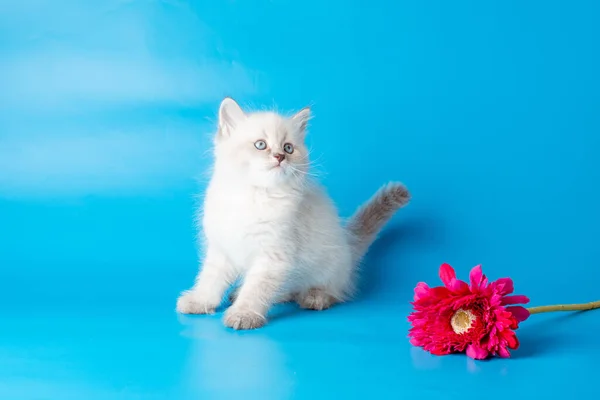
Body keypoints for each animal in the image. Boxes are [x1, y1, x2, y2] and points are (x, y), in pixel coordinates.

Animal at [176, 97, 410, 328]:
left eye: (288, 148)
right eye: (261, 145)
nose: (280, 157)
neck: (254, 195)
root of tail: (348, 244)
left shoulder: (273, 257)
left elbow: (255, 290)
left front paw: (244, 314)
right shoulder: (222, 249)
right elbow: (210, 279)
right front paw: (199, 301)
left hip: (330, 266)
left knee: (333, 290)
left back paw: (315, 297)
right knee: (285, 291)